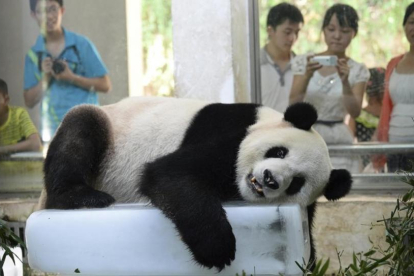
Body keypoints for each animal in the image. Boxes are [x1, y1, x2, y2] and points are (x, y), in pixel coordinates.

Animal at [42, 96, 350, 270]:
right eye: (279, 152)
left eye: (297, 183)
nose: (270, 179)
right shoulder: (231, 138)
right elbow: (171, 174)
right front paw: (218, 249)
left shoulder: (306, 206)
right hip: (108, 132)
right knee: (80, 130)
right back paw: (82, 197)